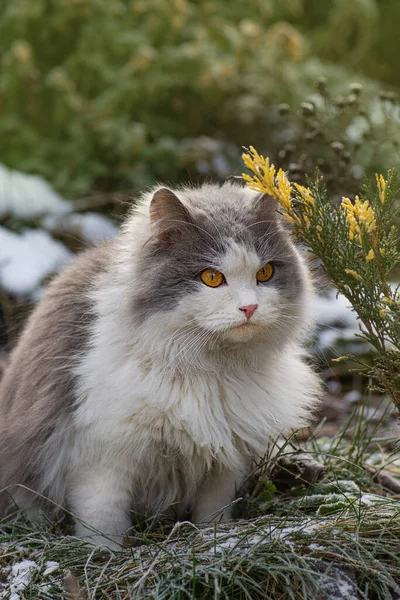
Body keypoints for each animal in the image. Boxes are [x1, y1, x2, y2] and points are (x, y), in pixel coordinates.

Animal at [0, 182, 318, 548]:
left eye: (265, 273)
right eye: (212, 277)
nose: (250, 307)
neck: (210, 369)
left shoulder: (224, 457)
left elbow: (214, 512)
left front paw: (213, 539)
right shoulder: (100, 459)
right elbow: (102, 520)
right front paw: (105, 553)